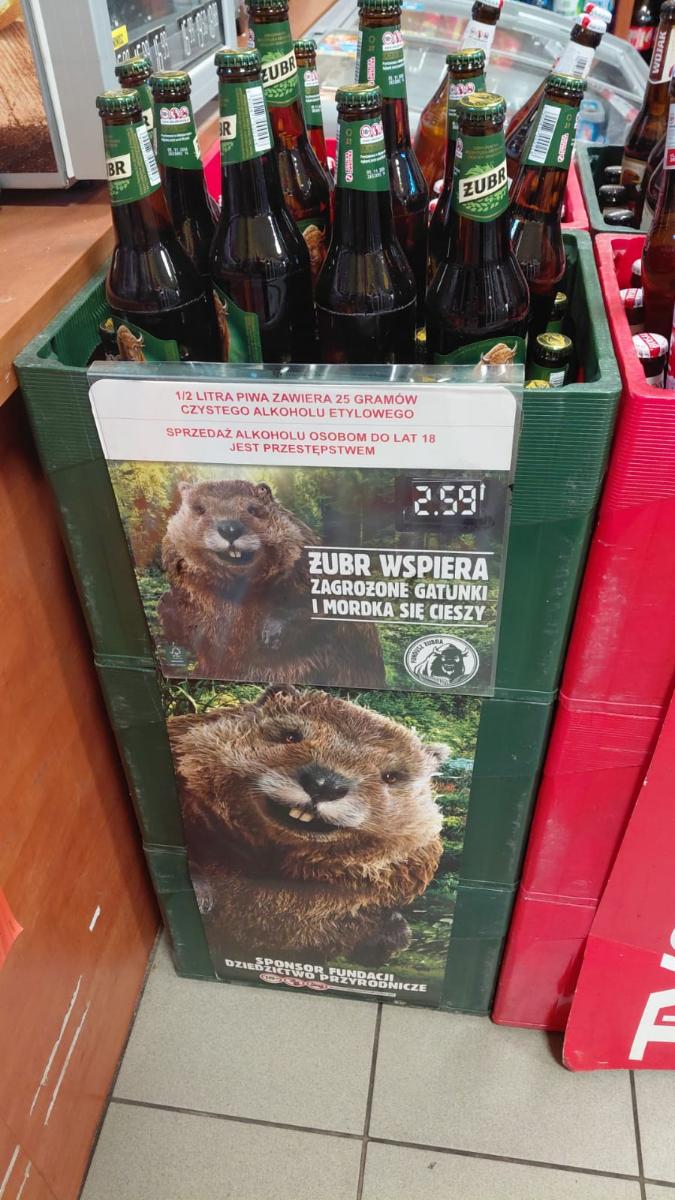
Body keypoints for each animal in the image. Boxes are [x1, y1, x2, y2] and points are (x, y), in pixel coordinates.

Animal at [158, 479, 385, 686]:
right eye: (199, 508)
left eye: (253, 509)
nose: (229, 529)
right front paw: (168, 605)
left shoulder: (304, 559)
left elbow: (321, 606)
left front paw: (270, 634)